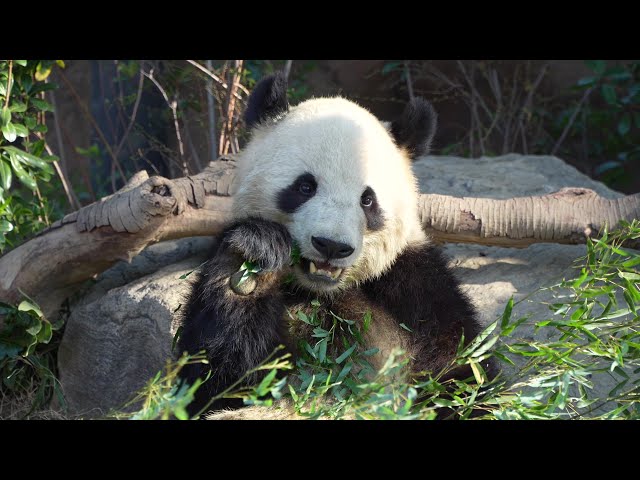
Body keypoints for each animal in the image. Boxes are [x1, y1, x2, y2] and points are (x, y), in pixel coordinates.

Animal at [178, 70, 492, 416]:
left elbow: (461, 371)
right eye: (305, 187)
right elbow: (215, 381)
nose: (331, 245)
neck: (321, 291)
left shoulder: (415, 289)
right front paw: (252, 263)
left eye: (368, 200)